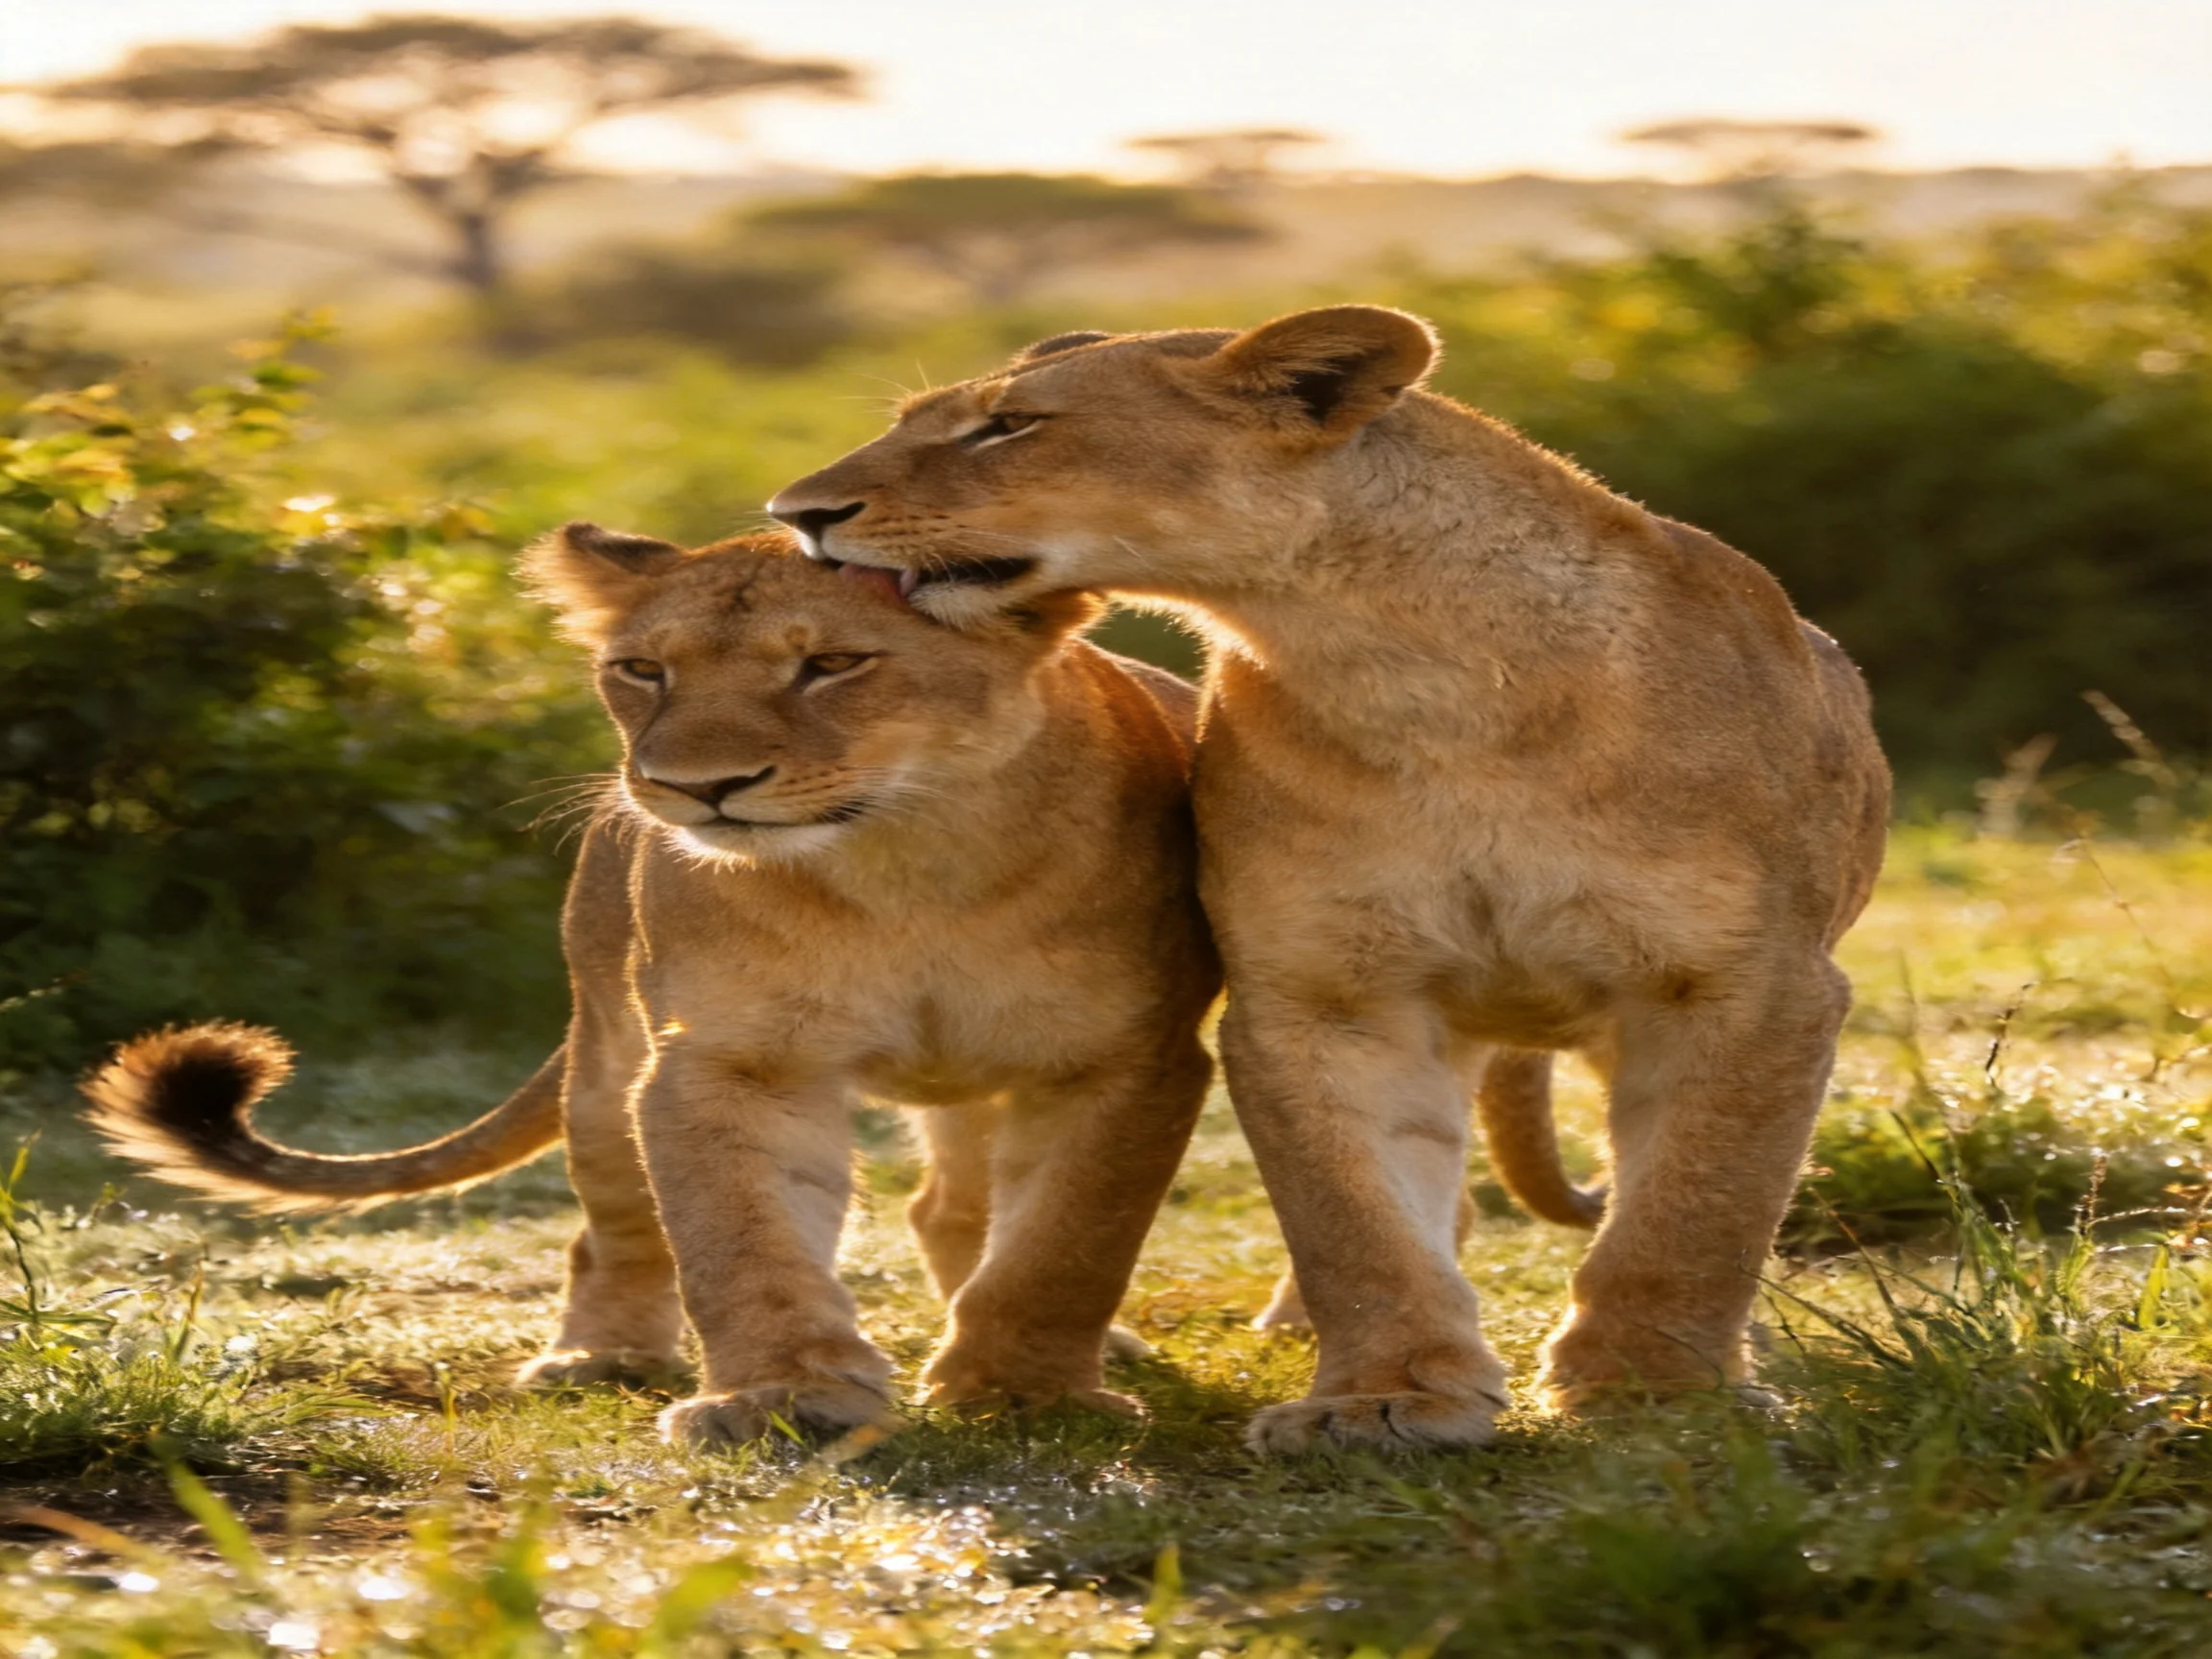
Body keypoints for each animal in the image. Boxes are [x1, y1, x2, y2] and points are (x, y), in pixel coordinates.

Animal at [83, 525, 1224, 1446]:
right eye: (641, 670)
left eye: (832, 665)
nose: (695, 788)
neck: (905, 866)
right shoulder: (729, 1058)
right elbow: (742, 1239)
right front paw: (782, 1398)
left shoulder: (1132, 1060)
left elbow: (1069, 1240)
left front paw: (1022, 1392)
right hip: (604, 1054)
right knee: (614, 1229)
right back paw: (604, 1356)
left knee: (954, 1206)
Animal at [765, 307, 1893, 1454]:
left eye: (1009, 425)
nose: (797, 514)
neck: (1412, 676)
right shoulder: (1326, 995)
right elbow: (1354, 1220)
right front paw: (1385, 1398)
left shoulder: (1747, 987)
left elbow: (1696, 1205)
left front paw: (1651, 1392)